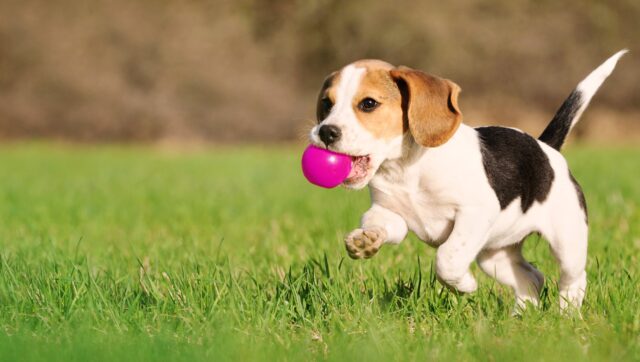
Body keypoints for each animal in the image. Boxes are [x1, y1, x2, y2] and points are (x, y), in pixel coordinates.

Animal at [308, 51, 624, 312]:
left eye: (368, 104)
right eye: (326, 103)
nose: (325, 132)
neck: (406, 169)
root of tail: (546, 147)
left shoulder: (475, 213)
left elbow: (447, 258)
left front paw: (465, 285)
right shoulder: (390, 213)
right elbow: (379, 224)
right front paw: (365, 240)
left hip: (567, 242)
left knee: (573, 279)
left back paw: (567, 316)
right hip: (495, 256)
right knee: (532, 278)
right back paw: (520, 318)